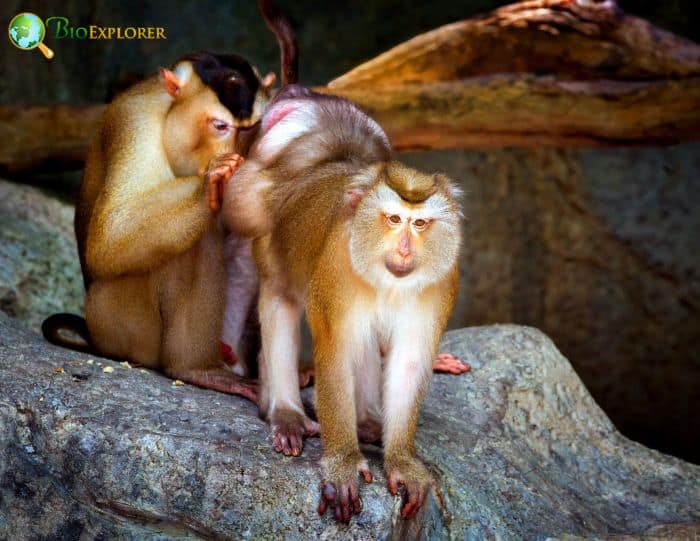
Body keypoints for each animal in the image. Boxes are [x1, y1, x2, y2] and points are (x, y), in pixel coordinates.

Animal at [221, 85, 462, 521]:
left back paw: (366, 422)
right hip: (257, 214)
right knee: (280, 300)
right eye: (393, 220)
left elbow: (407, 362)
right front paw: (343, 463)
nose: (405, 250)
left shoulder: (441, 282)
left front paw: (402, 461)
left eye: (419, 224)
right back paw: (285, 412)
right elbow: (334, 350)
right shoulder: (336, 267)